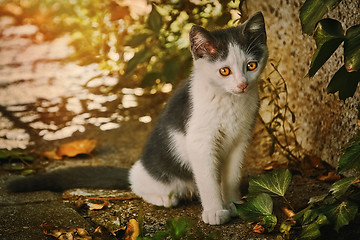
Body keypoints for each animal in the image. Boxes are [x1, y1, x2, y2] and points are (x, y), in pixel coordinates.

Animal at [7, 11, 268, 225]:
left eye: (251, 66)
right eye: (224, 71)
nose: (242, 85)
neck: (229, 101)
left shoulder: (240, 139)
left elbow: (231, 176)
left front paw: (233, 204)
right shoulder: (200, 142)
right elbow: (209, 179)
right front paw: (215, 211)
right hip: (156, 172)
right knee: (138, 183)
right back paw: (163, 197)